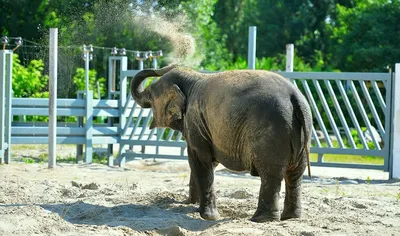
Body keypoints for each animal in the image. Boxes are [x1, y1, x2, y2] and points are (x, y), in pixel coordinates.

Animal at [131, 64, 312, 223]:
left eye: (151, 94)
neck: (193, 78)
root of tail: (295, 97)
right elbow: (208, 162)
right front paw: (191, 206)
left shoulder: (195, 120)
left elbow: (199, 159)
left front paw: (208, 217)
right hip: (301, 134)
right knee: (295, 174)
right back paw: (290, 217)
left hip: (271, 135)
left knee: (271, 175)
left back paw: (260, 220)